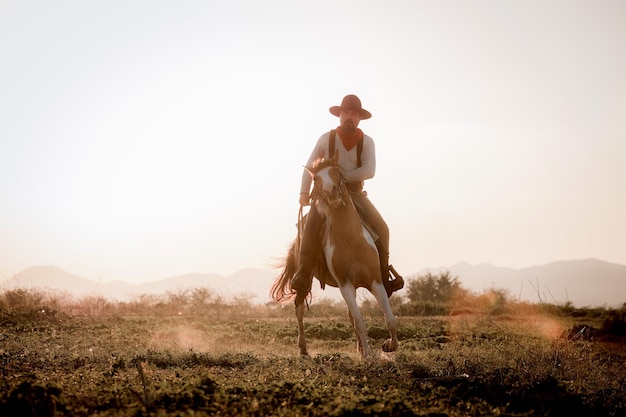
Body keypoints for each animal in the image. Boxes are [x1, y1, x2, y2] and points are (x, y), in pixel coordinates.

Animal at [266, 154, 394, 358]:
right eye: (317, 180)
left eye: (338, 172)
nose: (333, 195)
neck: (351, 240)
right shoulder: (345, 285)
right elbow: (360, 322)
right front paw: (368, 355)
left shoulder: (376, 282)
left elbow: (390, 319)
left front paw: (389, 345)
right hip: (306, 283)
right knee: (299, 309)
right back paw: (303, 350)